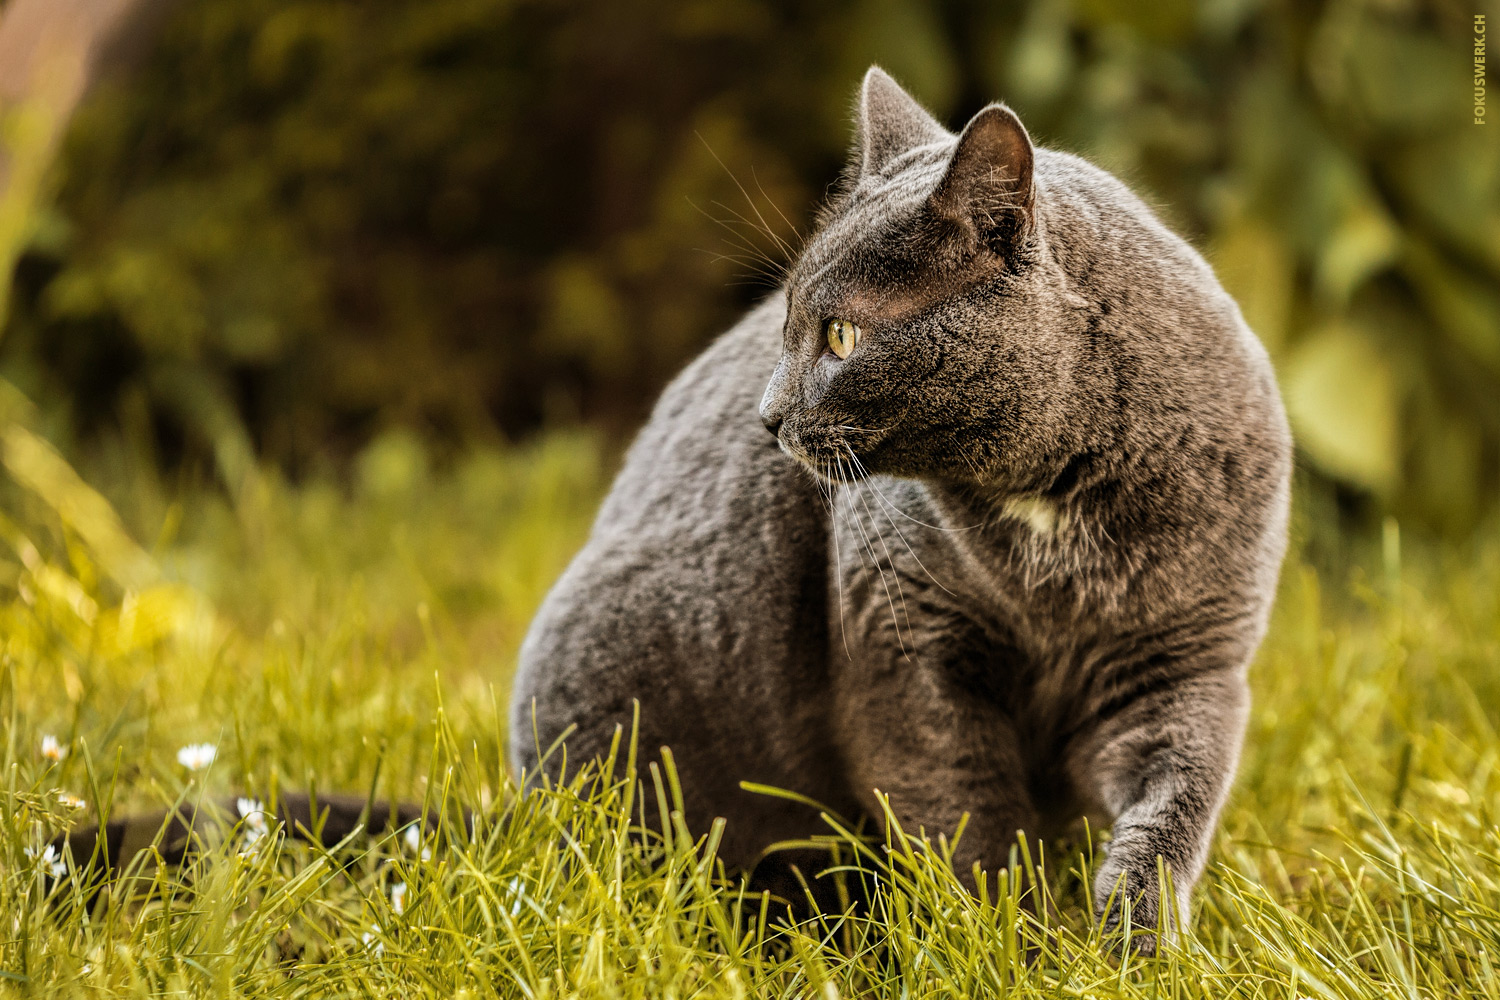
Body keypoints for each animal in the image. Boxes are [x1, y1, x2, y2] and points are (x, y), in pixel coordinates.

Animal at [513, 68, 1290, 947]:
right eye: (785, 325)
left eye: (841, 336)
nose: (765, 416)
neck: (1051, 514)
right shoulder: (904, 652)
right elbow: (964, 820)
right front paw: (1007, 942)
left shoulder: (1188, 662)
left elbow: (1172, 809)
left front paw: (1136, 944)